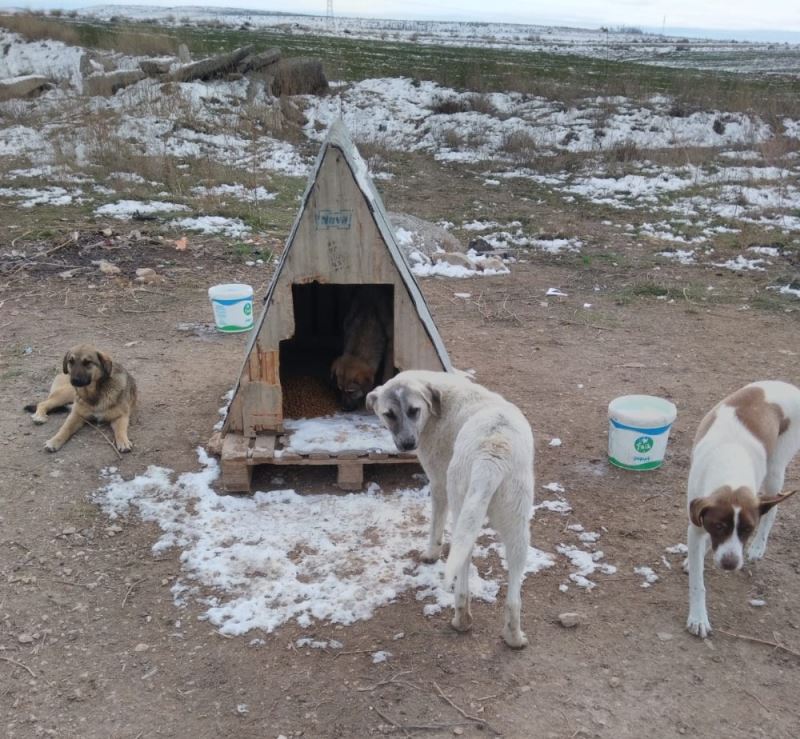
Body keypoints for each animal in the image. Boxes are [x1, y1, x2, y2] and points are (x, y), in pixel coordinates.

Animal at [366, 370, 536, 648]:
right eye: (389, 414)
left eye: (414, 410)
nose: (407, 444)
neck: (439, 402)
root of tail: (493, 451)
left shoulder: (437, 484)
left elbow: (435, 526)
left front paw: (430, 555)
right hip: (517, 525)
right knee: (514, 593)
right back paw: (514, 637)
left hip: (460, 505)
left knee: (462, 565)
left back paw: (461, 619)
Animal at [684, 382, 800, 636]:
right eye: (718, 526)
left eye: (748, 529)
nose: (730, 564)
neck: (730, 465)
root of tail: (789, 385)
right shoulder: (696, 524)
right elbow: (698, 582)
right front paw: (698, 617)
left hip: (776, 468)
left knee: (773, 509)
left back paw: (758, 547)